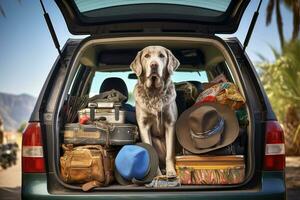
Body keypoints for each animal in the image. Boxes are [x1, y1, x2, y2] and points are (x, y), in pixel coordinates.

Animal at [130, 45, 179, 177]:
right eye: (146, 56)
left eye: (161, 56)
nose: (154, 65)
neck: (155, 93)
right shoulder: (143, 126)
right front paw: (156, 175)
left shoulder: (170, 124)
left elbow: (170, 153)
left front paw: (171, 172)